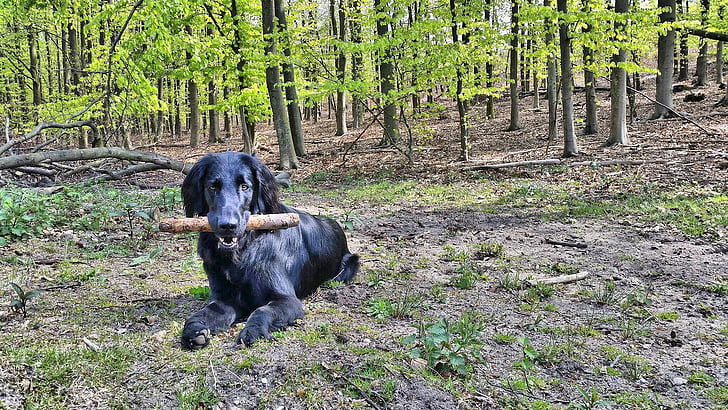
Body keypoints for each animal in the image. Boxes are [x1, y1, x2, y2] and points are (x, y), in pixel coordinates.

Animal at [181, 151, 360, 350]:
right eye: (212, 186)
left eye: (245, 186)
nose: (228, 226)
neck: (242, 252)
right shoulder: (224, 299)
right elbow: (204, 312)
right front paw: (194, 330)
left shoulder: (288, 300)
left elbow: (262, 310)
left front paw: (252, 331)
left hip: (349, 265)